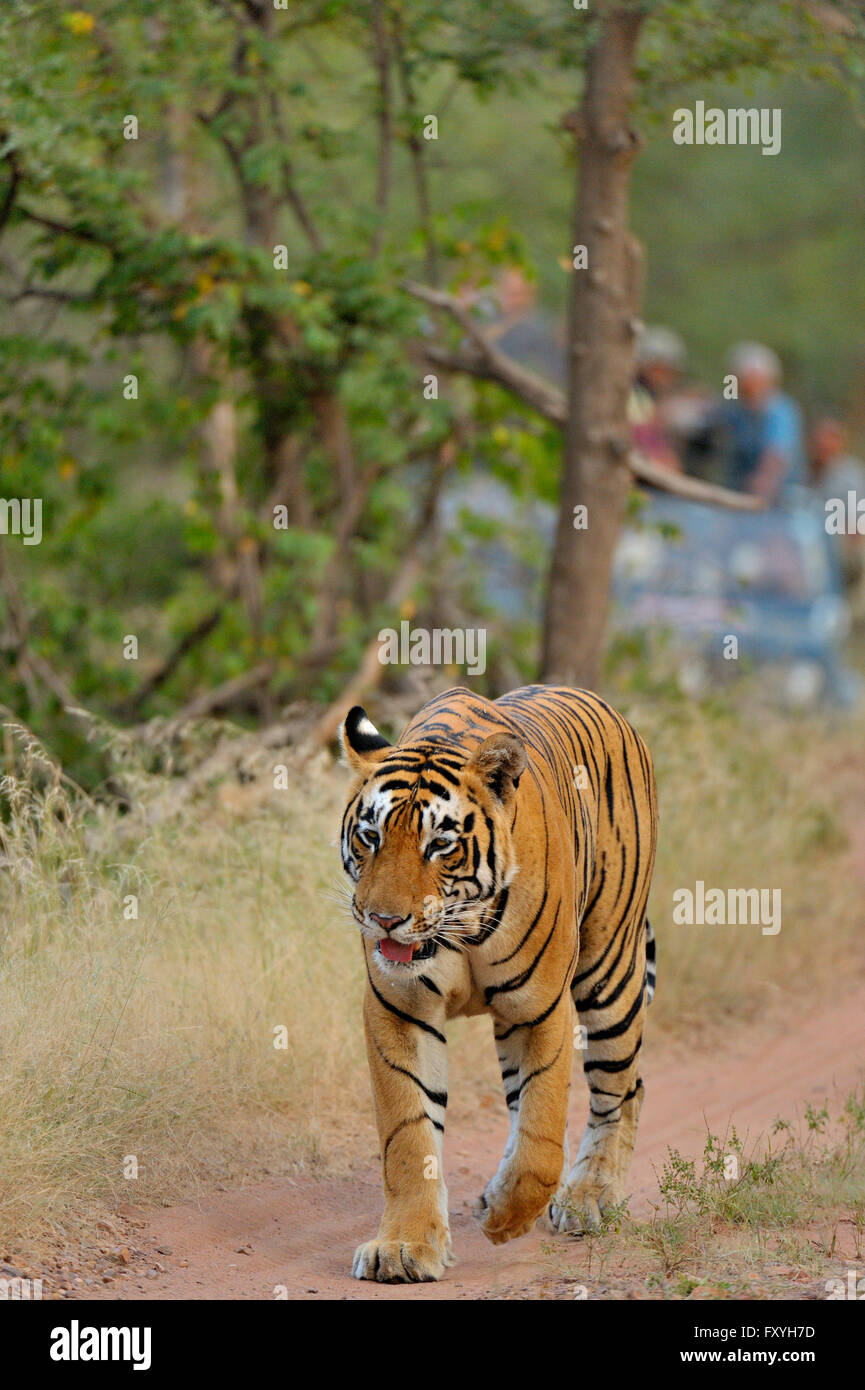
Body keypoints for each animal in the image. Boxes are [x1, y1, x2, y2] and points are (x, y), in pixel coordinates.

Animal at [339, 683, 656, 1278]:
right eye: (370, 837)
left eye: (440, 845)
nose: (384, 920)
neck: (459, 930)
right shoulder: (400, 1009)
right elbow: (408, 1136)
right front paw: (404, 1246)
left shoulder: (543, 1008)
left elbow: (543, 1135)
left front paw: (507, 1219)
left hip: (609, 973)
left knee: (622, 1089)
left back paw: (589, 1197)